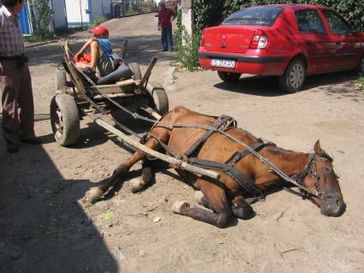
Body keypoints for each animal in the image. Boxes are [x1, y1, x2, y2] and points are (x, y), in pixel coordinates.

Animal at [84, 106, 346, 227]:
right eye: (326, 171)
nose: (339, 206)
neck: (254, 159)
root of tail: (173, 110)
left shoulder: (238, 191)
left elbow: (243, 210)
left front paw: (202, 200)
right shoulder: (210, 183)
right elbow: (224, 217)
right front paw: (182, 205)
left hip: (163, 146)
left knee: (150, 160)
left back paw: (141, 180)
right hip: (157, 136)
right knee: (128, 163)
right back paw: (97, 191)